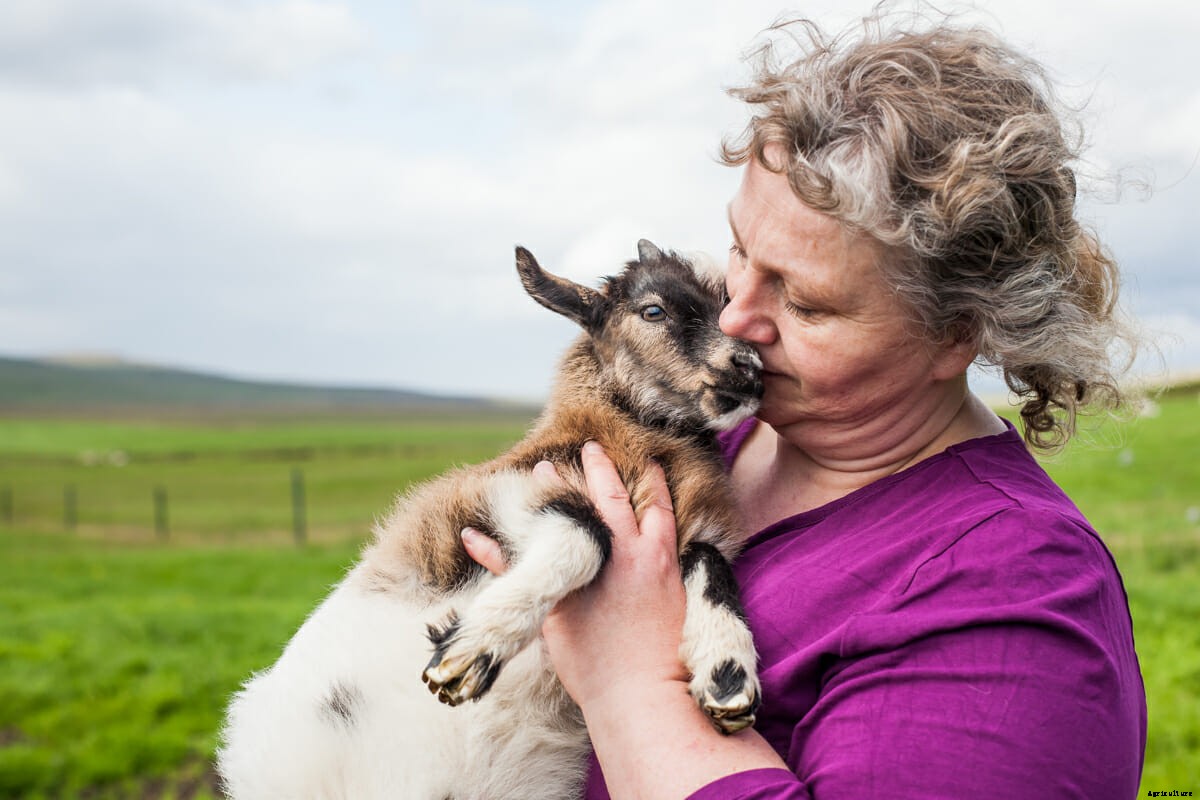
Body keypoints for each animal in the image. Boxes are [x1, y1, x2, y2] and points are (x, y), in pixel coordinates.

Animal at [217, 240, 764, 800]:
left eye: (726, 299)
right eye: (652, 310)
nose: (750, 368)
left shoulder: (691, 535)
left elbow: (711, 563)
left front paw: (727, 673)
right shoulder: (499, 499)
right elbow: (586, 534)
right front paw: (472, 650)